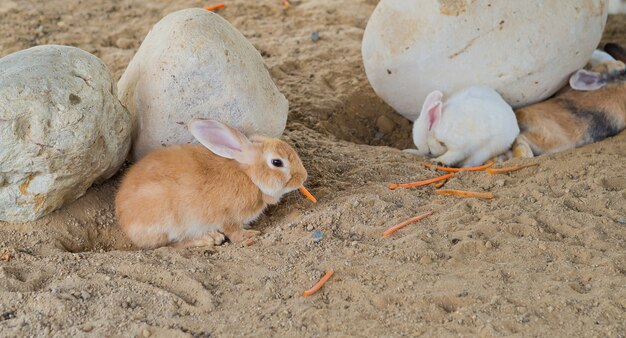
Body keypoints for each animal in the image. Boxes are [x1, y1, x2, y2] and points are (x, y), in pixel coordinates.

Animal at [116, 118, 308, 248]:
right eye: (277, 162)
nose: (303, 177)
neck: (249, 176)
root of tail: (123, 219)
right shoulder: (227, 216)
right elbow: (233, 231)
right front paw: (249, 234)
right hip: (169, 220)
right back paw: (208, 238)